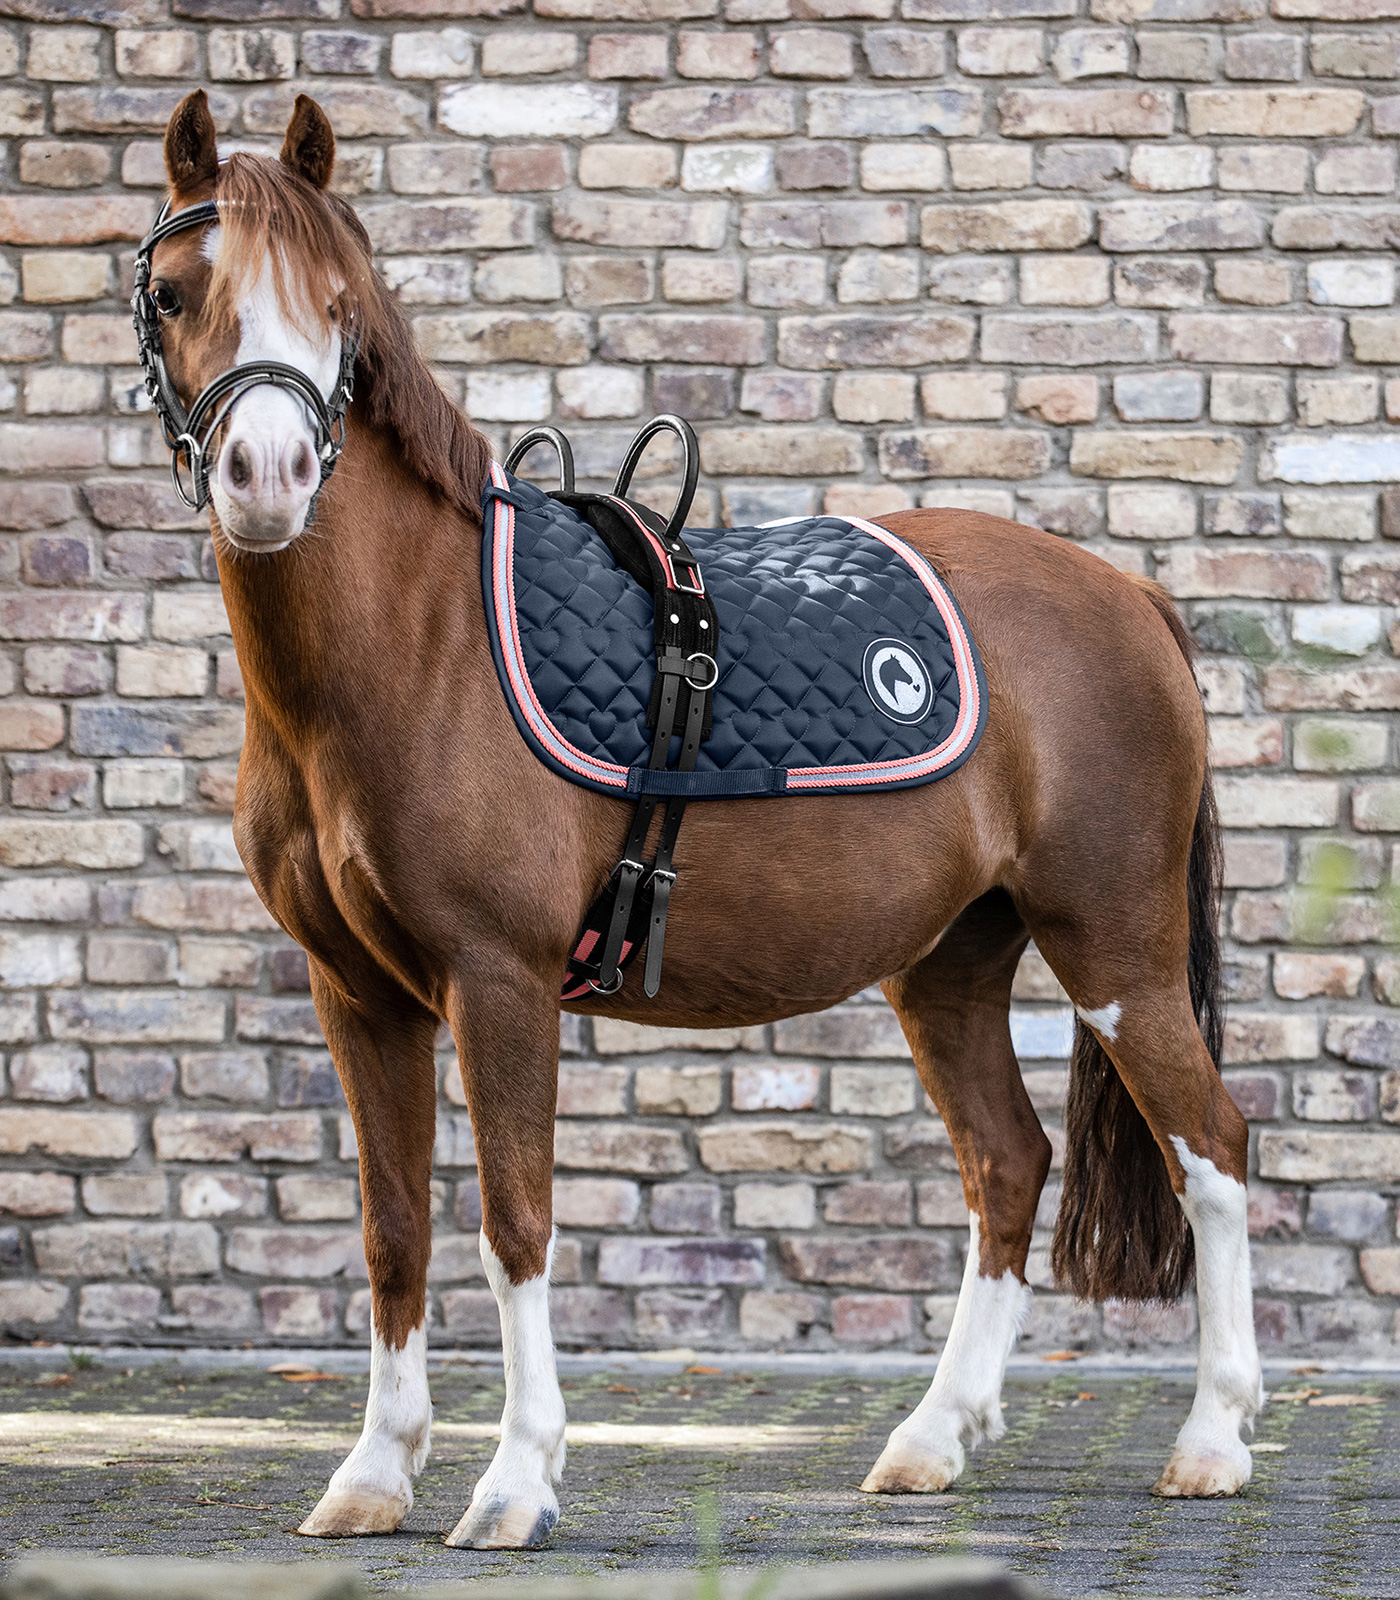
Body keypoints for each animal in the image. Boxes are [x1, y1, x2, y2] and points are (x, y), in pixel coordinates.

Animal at [142, 93, 1260, 1542]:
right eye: (173, 293)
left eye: (340, 306)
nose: (268, 475)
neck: (421, 646)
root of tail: (1134, 597)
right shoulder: (358, 993)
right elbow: (395, 1230)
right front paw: (375, 1476)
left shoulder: (497, 982)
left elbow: (514, 1221)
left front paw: (515, 1483)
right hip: (951, 963)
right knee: (1006, 1164)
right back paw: (930, 1438)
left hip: (1114, 948)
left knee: (1212, 1150)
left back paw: (1212, 1441)